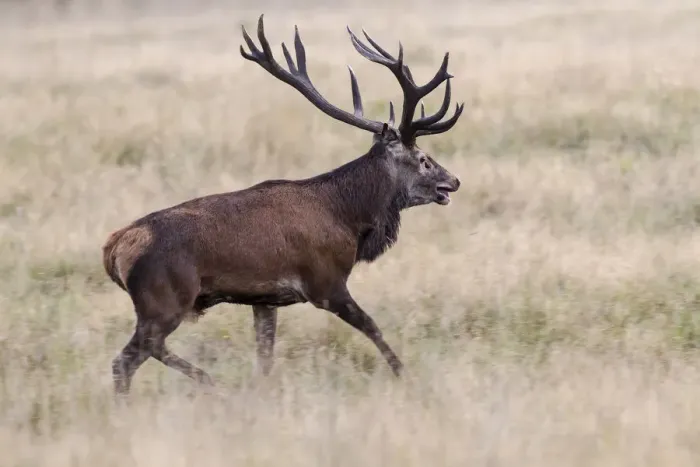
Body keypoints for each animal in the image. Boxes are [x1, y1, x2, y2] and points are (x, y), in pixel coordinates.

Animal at [102, 14, 464, 397]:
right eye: (424, 160)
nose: (454, 180)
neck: (349, 219)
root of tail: (114, 247)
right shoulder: (325, 281)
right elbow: (372, 327)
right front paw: (405, 375)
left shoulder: (265, 300)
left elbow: (265, 357)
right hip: (164, 298)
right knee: (129, 357)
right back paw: (202, 383)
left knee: (143, 352)